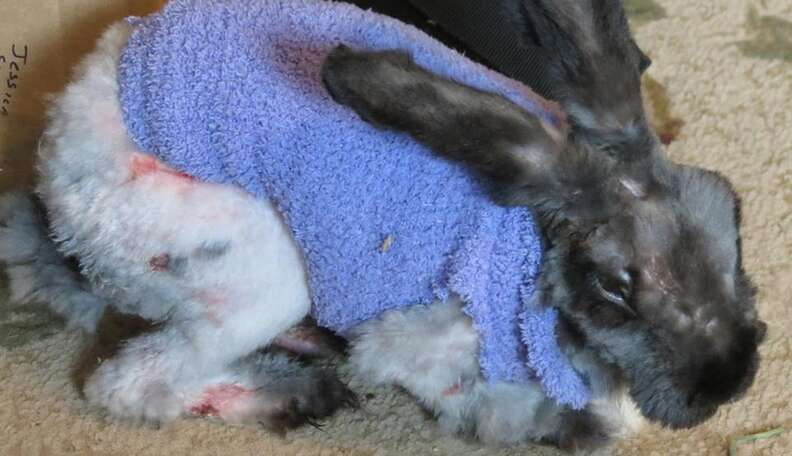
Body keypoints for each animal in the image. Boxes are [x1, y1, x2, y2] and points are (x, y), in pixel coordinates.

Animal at [0, 0, 768, 452]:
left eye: (733, 208)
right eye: (618, 284)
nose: (727, 388)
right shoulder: (433, 348)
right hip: (258, 269)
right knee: (131, 382)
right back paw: (295, 391)